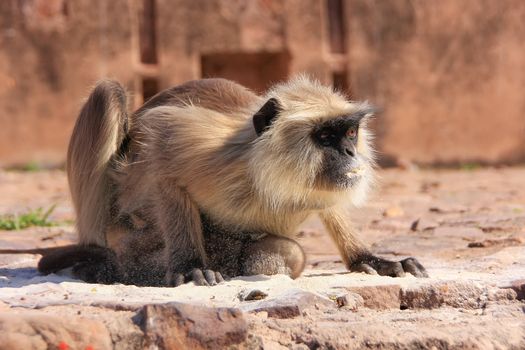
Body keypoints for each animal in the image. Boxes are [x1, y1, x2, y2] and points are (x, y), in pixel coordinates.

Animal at [33, 76, 426, 284]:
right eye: (326, 137)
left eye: (350, 133)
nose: (348, 152)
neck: (274, 178)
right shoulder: (209, 150)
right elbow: (163, 158)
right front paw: (191, 267)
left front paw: (370, 259)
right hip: (123, 235)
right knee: (109, 91)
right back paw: (103, 265)